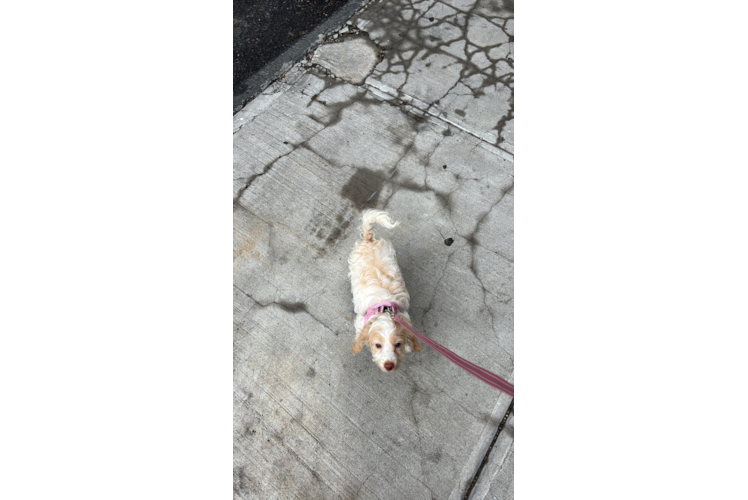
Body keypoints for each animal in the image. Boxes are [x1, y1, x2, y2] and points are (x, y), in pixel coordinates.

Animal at [350, 210, 420, 372]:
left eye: (398, 344)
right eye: (378, 345)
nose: (389, 366)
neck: (384, 307)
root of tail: (369, 240)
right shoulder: (360, 322)